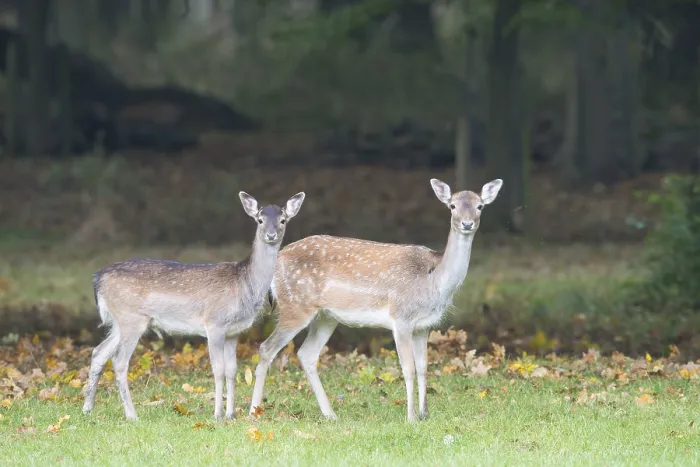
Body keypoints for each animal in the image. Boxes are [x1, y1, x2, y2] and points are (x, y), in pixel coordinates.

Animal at [82, 190, 306, 421]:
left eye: (283, 220)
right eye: (260, 220)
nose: (271, 234)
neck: (243, 285)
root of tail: (98, 279)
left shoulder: (234, 332)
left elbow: (232, 370)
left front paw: (231, 414)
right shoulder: (214, 323)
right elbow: (218, 369)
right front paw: (217, 415)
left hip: (120, 322)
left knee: (98, 352)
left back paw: (88, 409)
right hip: (132, 318)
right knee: (119, 361)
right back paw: (132, 415)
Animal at [248, 178, 502, 422]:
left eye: (480, 206)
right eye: (452, 206)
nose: (467, 224)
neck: (433, 281)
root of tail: (277, 263)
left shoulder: (424, 326)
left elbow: (423, 367)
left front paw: (424, 414)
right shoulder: (401, 318)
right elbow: (408, 368)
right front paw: (411, 417)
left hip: (326, 316)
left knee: (307, 354)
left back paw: (330, 414)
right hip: (295, 306)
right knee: (266, 348)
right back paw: (254, 412)